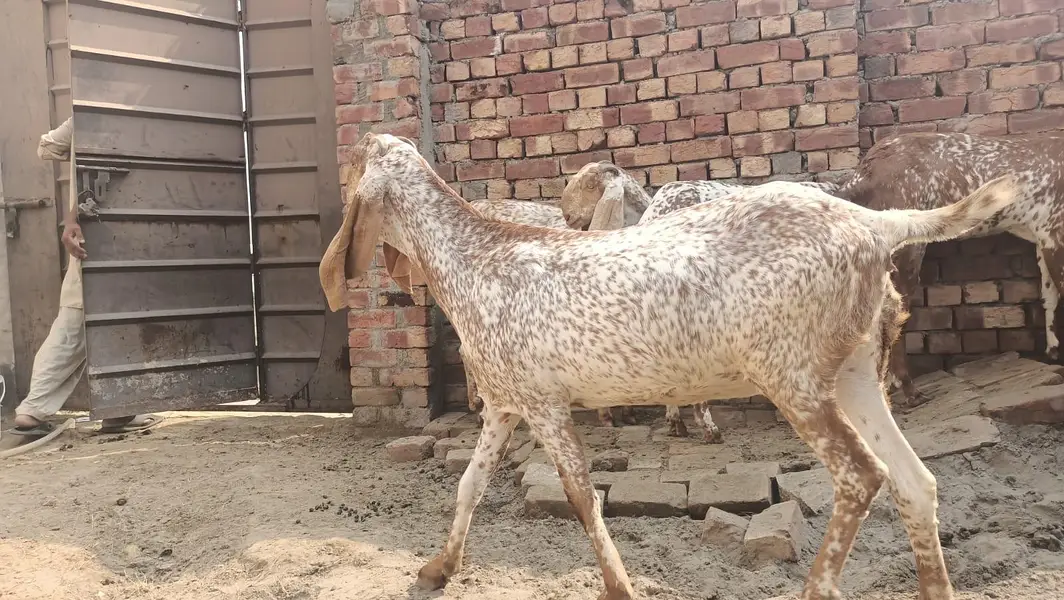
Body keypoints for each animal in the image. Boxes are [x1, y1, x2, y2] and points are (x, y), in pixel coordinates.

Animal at [320, 132, 1017, 600]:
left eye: (353, 161)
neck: (476, 259)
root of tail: (875, 224)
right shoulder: (505, 402)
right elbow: (469, 484)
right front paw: (439, 568)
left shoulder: (545, 403)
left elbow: (581, 495)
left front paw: (619, 585)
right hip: (853, 371)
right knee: (915, 480)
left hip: (790, 373)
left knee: (861, 476)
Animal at [836, 131, 1064, 407]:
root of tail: (864, 171)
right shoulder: (1055, 232)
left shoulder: (1043, 237)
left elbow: (1049, 296)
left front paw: (1053, 351)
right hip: (907, 250)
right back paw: (909, 390)